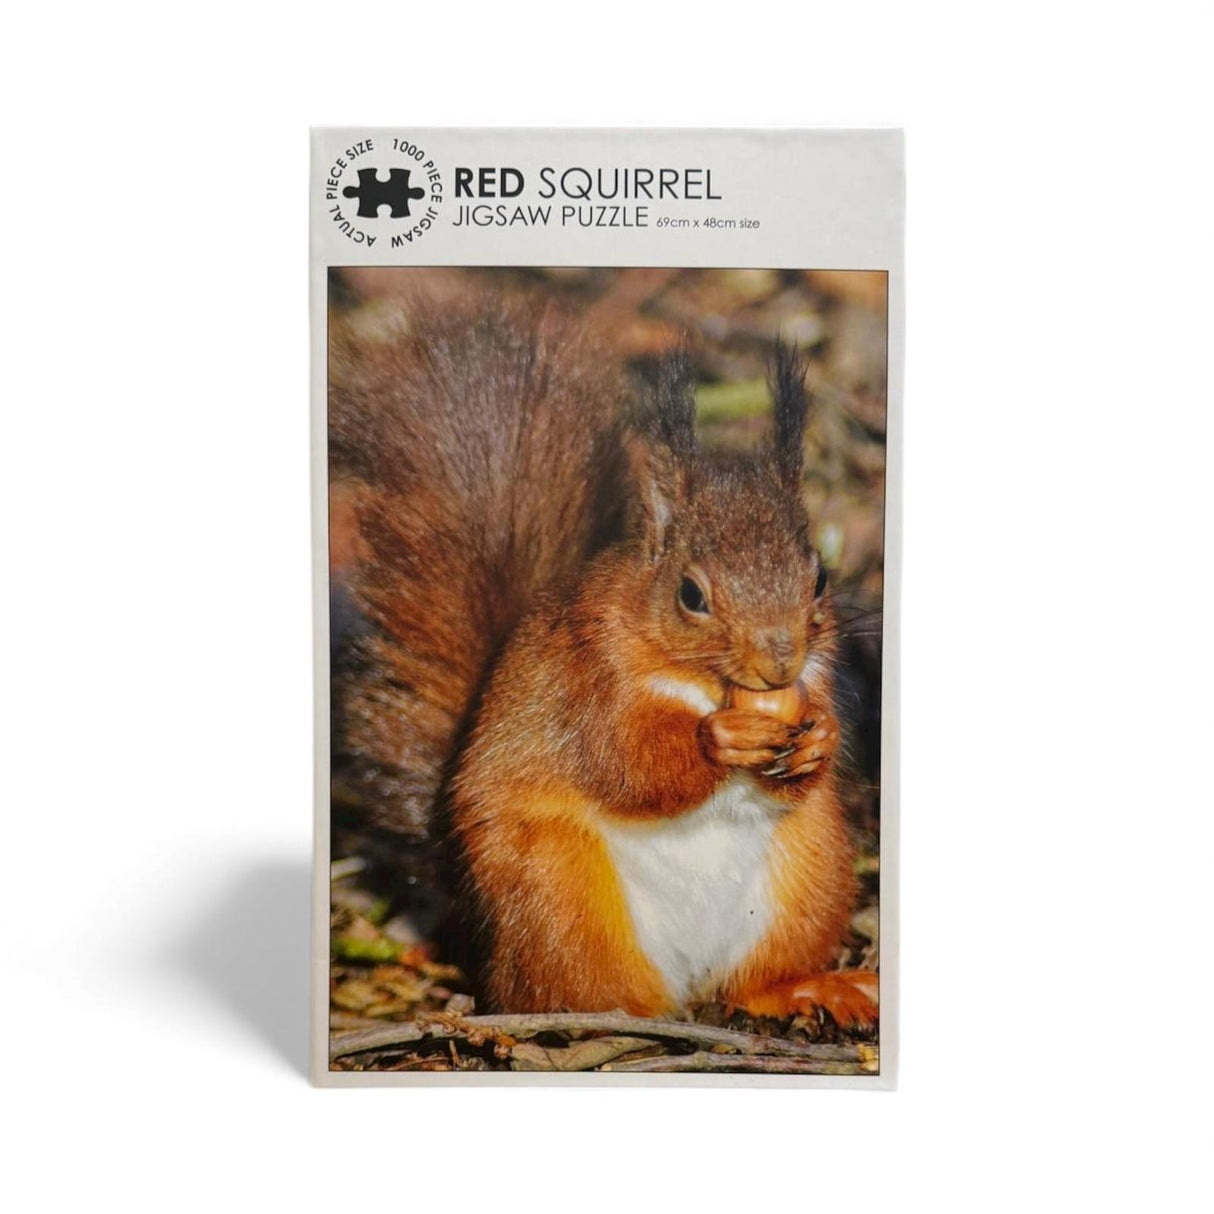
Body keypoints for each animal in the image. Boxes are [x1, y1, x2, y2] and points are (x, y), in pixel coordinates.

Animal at [330, 295, 877, 1028]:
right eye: (691, 595)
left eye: (819, 578)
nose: (780, 662)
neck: (703, 682)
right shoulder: (591, 682)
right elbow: (627, 765)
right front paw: (720, 738)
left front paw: (821, 738)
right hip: (557, 890)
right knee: (569, 992)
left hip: (811, 870)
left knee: (751, 982)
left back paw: (809, 988)